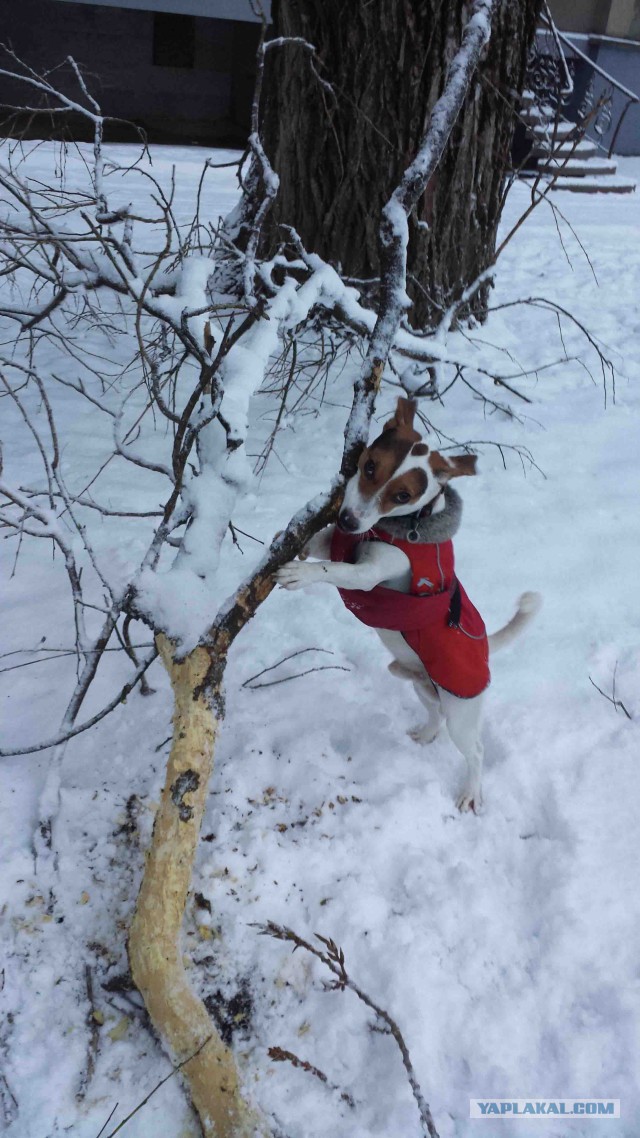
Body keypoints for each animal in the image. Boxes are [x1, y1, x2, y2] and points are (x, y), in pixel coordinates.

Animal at [274, 396, 537, 814]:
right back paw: (426, 733)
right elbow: (321, 543)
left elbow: (333, 568)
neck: (404, 527)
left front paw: (302, 574)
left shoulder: (368, 574)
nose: (349, 520)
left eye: (402, 496)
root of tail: (484, 646)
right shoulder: (339, 540)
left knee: (475, 750)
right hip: (419, 684)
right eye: (368, 466)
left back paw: (470, 792)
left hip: (462, 712)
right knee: (434, 714)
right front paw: (295, 543)